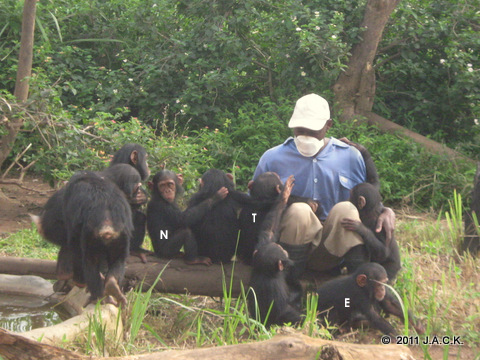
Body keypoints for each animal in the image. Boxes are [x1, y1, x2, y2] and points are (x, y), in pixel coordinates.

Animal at [62, 170, 133, 306]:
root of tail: (107, 226)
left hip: (92, 237)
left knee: (89, 261)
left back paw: (97, 295)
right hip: (121, 237)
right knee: (119, 260)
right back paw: (112, 288)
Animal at [246, 176, 302, 328]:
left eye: (279, 247)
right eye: (281, 250)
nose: (284, 250)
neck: (268, 273)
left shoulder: (261, 246)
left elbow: (269, 229)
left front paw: (284, 195)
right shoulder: (274, 288)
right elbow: (283, 311)